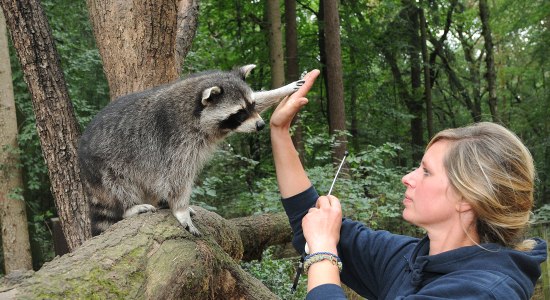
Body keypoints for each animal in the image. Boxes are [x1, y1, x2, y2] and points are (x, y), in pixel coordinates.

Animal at [77, 64, 304, 236]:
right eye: (239, 113)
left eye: (252, 105)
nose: (260, 125)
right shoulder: (175, 141)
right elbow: (177, 176)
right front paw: (180, 210)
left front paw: (282, 90)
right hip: (106, 168)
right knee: (120, 188)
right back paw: (128, 208)